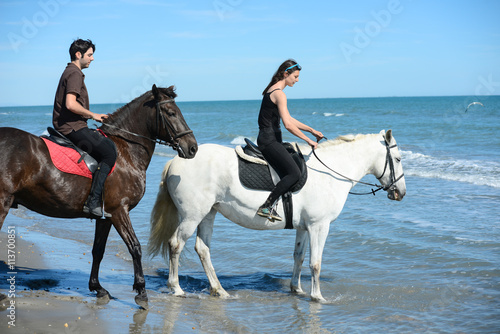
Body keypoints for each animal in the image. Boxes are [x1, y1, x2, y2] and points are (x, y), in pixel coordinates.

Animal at [0, 84, 198, 308]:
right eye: (171, 113)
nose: (193, 147)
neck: (125, 152)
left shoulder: (105, 217)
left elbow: (98, 250)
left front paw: (98, 288)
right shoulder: (119, 211)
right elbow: (135, 247)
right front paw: (141, 291)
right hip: (2, 201)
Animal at [148, 129, 406, 302]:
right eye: (399, 159)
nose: (400, 193)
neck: (329, 173)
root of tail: (175, 161)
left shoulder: (303, 227)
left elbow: (299, 257)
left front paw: (297, 289)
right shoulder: (319, 226)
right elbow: (315, 263)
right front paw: (317, 297)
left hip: (208, 214)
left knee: (202, 249)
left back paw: (219, 289)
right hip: (192, 215)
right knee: (176, 244)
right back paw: (176, 288)